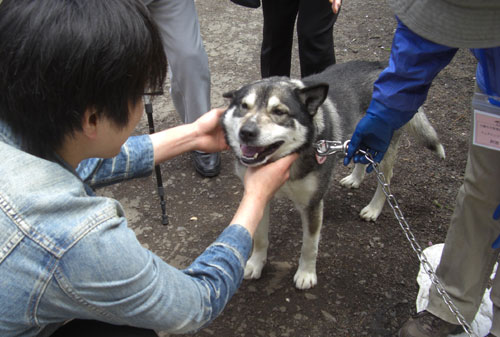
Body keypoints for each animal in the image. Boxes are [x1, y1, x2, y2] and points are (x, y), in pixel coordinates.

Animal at [223, 60, 446, 288]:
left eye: (279, 111)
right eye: (243, 107)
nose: (246, 132)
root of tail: (380, 65)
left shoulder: (312, 204)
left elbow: (309, 245)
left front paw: (306, 274)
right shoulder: (260, 196)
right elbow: (259, 237)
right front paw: (255, 263)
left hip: (384, 148)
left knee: (385, 181)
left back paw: (374, 208)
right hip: (360, 138)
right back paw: (355, 178)